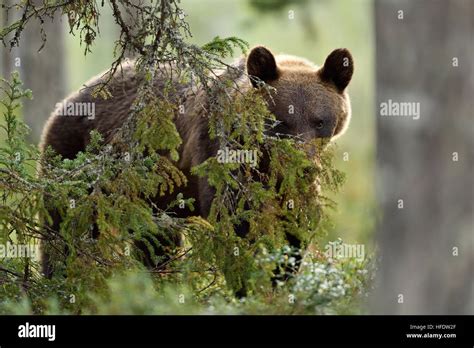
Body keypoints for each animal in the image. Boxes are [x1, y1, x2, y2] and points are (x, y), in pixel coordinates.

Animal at [39, 46, 352, 278]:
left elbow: (296, 226)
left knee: (154, 244)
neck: (263, 162)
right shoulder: (219, 159)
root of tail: (68, 101)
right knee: (61, 232)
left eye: (319, 121)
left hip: (152, 197)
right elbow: (236, 226)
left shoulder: (290, 188)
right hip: (76, 161)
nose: (303, 166)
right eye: (280, 121)